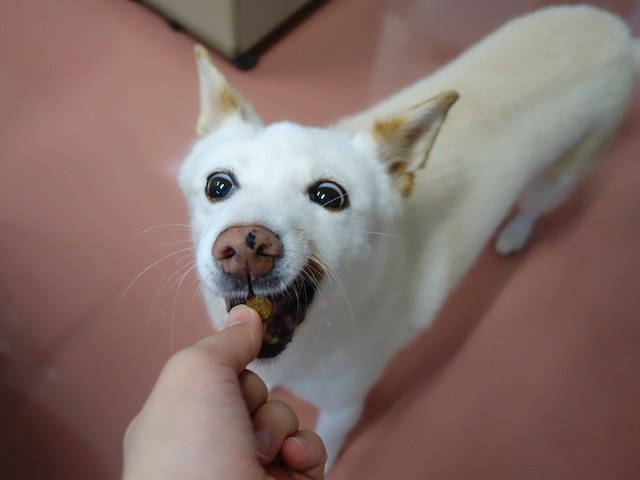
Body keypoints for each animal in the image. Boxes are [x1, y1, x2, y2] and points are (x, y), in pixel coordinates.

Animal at [179, 3, 640, 468]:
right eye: (218, 185)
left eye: (329, 196)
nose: (245, 245)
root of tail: (615, 29)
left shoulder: (344, 408)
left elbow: (328, 447)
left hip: (559, 177)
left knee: (535, 207)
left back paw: (514, 234)